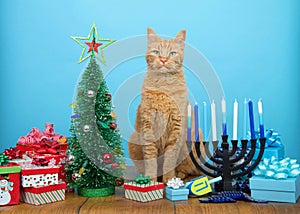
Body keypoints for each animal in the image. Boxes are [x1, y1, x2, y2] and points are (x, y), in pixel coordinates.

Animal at [127, 28, 203, 182]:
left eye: (172, 53)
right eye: (156, 52)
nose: (163, 59)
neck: (164, 88)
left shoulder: (176, 129)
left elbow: (169, 160)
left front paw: (169, 179)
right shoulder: (148, 128)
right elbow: (150, 160)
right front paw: (150, 180)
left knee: (189, 170)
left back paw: (178, 175)